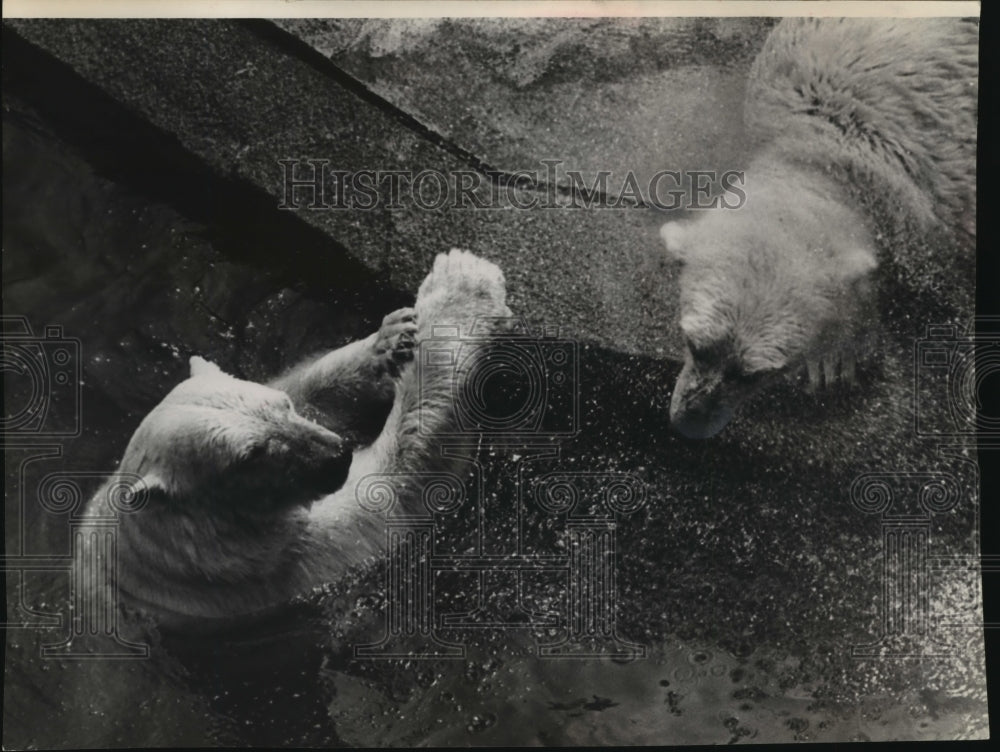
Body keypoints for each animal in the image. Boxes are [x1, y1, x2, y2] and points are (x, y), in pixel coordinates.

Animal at [77, 249, 511, 632]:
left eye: (282, 407)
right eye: (253, 455)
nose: (338, 455)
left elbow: (312, 391)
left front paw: (391, 338)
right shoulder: (270, 565)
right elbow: (393, 490)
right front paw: (461, 282)